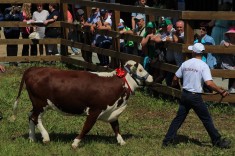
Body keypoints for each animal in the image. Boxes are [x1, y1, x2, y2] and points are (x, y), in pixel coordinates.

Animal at [11, 60, 153, 149]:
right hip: (40, 102)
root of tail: (34, 69)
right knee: (35, 117)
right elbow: (86, 128)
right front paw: (75, 143)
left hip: (38, 104)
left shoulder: (112, 111)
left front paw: (122, 142)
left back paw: (32, 138)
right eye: (141, 69)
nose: (151, 77)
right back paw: (45, 137)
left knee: (30, 115)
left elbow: (116, 128)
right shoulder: (95, 110)